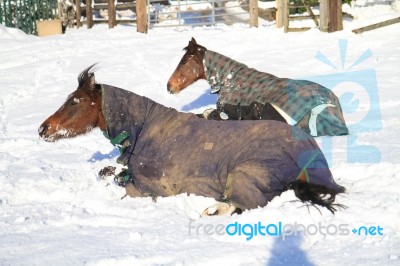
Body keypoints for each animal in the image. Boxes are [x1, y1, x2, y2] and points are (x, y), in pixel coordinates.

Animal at [39, 65, 346, 216]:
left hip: (246, 172)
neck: (144, 127)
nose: (43, 129)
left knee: (246, 205)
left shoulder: (149, 189)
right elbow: (109, 172)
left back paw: (212, 210)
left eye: (75, 102)